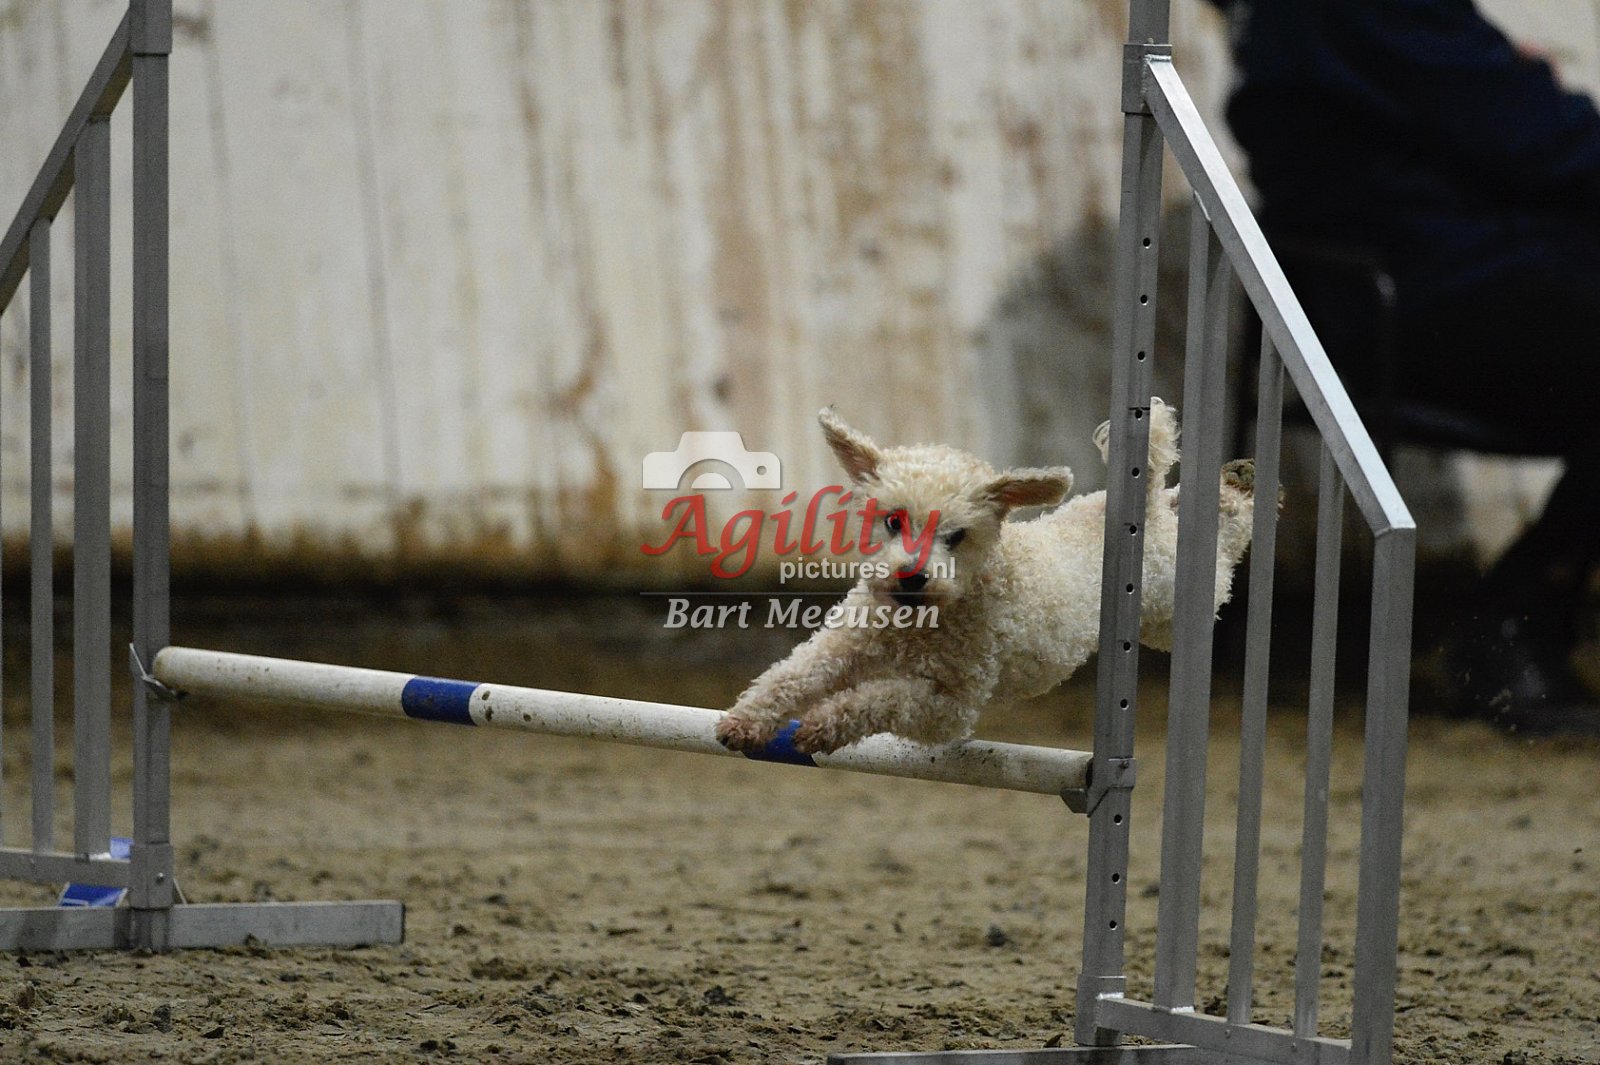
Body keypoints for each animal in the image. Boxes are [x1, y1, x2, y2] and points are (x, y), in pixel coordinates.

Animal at [714, 399, 1257, 755]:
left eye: (956, 535)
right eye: (893, 520)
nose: (912, 577)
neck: (920, 624)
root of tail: (1144, 513)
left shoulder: (950, 707)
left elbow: (883, 699)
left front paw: (821, 724)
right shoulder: (845, 643)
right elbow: (791, 674)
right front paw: (744, 721)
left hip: (1172, 613)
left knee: (1225, 550)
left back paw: (1238, 492)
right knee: (1177, 497)